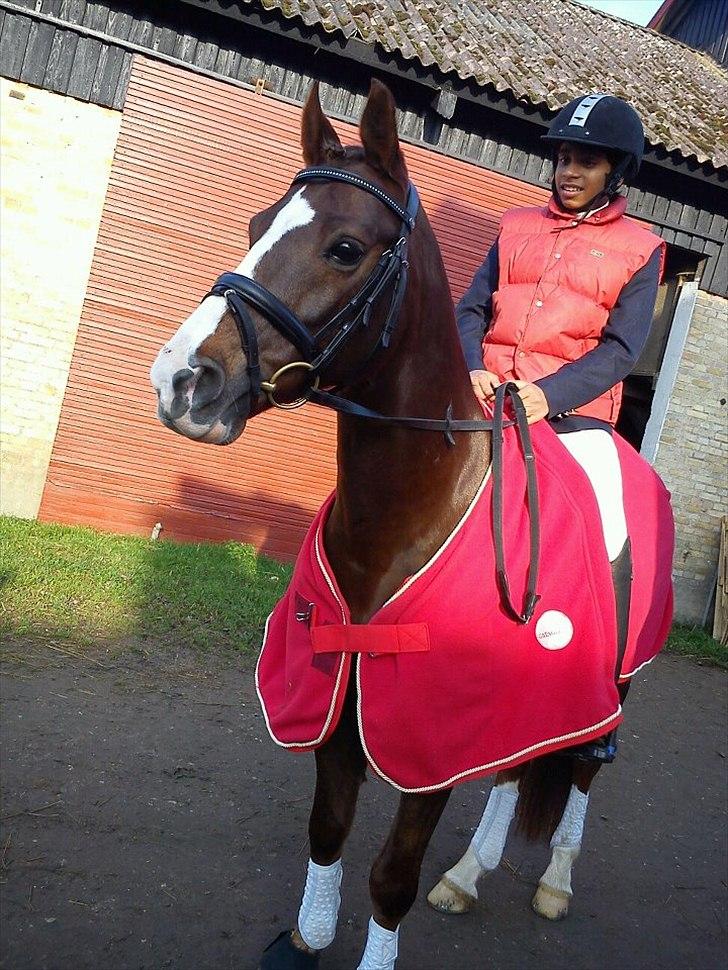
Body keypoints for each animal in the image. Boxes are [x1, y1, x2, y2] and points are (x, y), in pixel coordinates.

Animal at [150, 80, 669, 969]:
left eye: (345, 248)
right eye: (256, 226)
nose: (182, 380)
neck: (409, 514)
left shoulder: (436, 733)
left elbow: (390, 875)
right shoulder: (339, 691)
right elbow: (327, 829)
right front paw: (307, 937)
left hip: (617, 679)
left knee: (582, 770)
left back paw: (554, 881)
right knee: (517, 769)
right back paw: (467, 874)